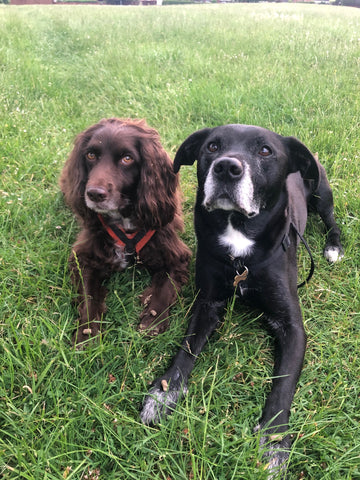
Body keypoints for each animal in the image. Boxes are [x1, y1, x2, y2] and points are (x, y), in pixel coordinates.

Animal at [140, 125, 344, 478]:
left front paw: (274, 443)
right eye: (212, 146)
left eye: (265, 151)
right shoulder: (207, 305)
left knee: (332, 219)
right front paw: (163, 394)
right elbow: (187, 348)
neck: (239, 242)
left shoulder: (292, 327)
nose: (226, 167)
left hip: (321, 192)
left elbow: (283, 385)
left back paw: (333, 246)